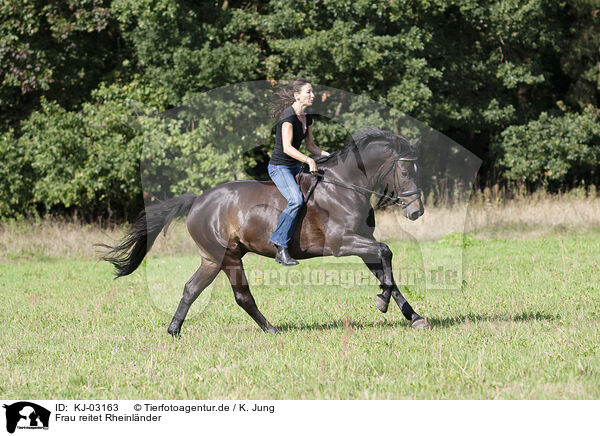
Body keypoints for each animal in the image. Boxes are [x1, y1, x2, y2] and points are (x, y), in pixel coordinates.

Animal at [101, 127, 428, 336]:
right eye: (404, 170)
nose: (417, 212)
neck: (345, 186)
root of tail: (197, 201)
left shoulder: (363, 243)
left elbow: (387, 272)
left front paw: (413, 317)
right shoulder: (342, 242)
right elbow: (387, 252)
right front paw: (382, 301)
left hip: (212, 259)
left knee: (191, 289)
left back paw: (173, 330)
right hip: (229, 257)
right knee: (242, 295)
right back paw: (270, 329)